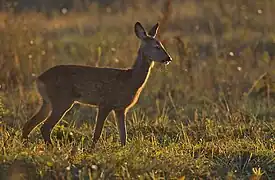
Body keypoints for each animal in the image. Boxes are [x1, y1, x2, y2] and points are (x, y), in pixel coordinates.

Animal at [22, 21, 172, 147]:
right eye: (157, 47)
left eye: (162, 45)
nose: (168, 58)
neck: (130, 80)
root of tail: (39, 80)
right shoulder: (105, 104)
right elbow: (97, 133)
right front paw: (92, 150)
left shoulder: (120, 109)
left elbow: (123, 135)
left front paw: (123, 150)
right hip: (62, 100)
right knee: (45, 127)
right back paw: (52, 148)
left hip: (48, 102)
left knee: (29, 125)